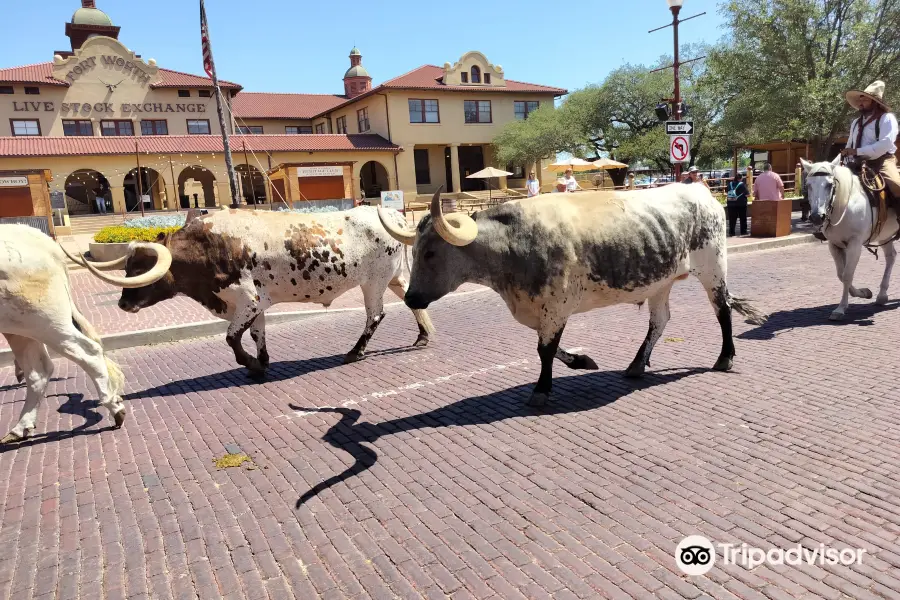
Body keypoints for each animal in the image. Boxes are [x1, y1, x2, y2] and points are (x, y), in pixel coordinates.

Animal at [804, 157, 896, 322]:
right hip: (885, 235)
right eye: (808, 185)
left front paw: (840, 309)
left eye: (829, 184)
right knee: (891, 257)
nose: (816, 217)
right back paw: (882, 296)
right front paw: (864, 293)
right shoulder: (835, 245)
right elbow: (842, 275)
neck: (846, 204)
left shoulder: (855, 244)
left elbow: (847, 275)